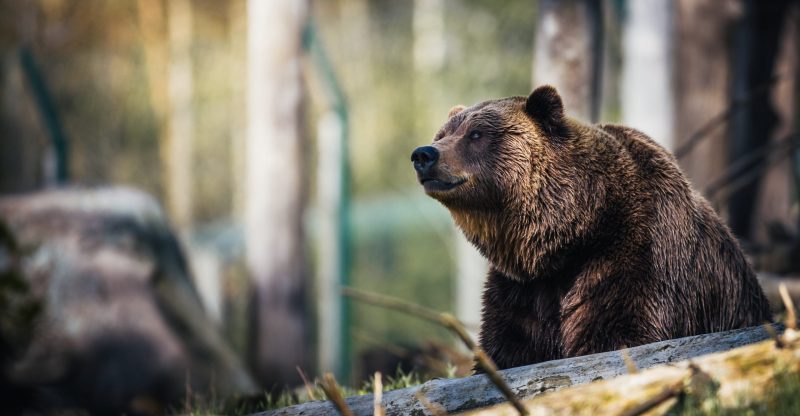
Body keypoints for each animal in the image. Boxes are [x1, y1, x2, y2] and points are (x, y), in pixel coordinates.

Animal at [410, 85, 772, 370]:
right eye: (442, 134)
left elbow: (618, 333)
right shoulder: (522, 289)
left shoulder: (636, 256)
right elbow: (508, 347)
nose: (424, 154)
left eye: (476, 134)